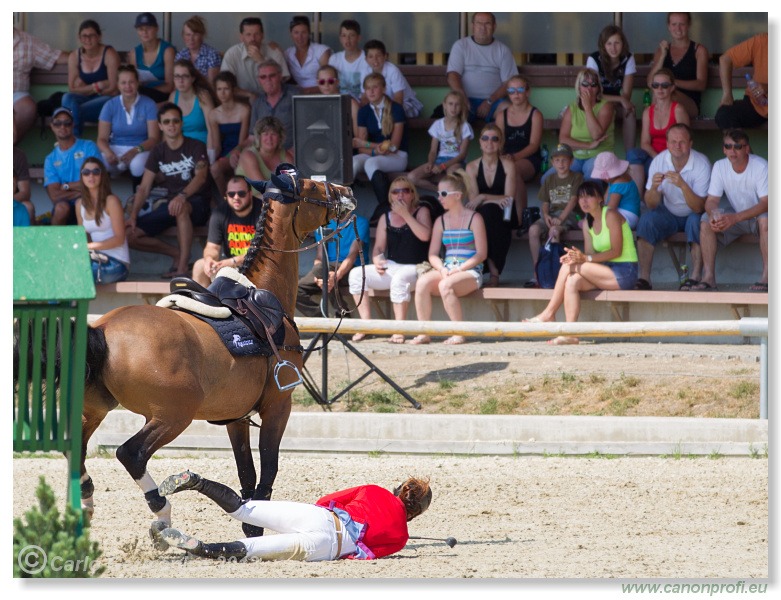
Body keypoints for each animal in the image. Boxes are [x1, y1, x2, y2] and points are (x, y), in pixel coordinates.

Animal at [80, 172, 354, 540]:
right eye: (311, 186)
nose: (346, 191)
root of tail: (104, 329)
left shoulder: (236, 417)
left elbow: (247, 474)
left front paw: (251, 524)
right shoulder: (278, 406)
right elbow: (267, 470)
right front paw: (256, 526)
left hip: (96, 410)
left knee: (75, 450)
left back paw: (85, 501)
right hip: (173, 415)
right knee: (131, 453)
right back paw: (161, 510)